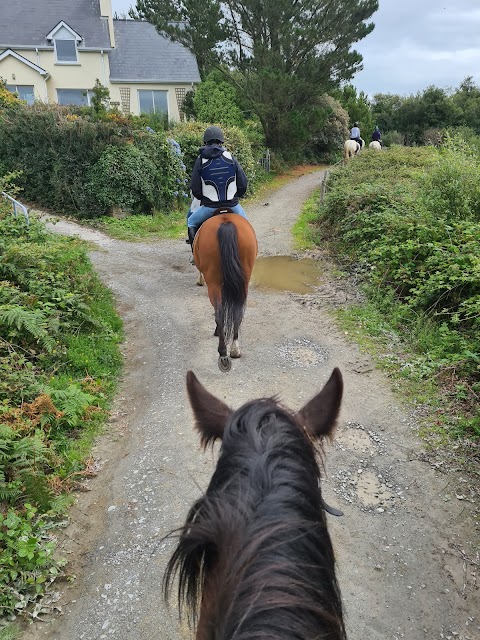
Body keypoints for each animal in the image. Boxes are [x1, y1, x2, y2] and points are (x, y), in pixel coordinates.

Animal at [193, 210, 256, 370]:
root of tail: (226, 222)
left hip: (213, 282)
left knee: (219, 312)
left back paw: (222, 351)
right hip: (244, 281)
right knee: (238, 311)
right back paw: (235, 349)